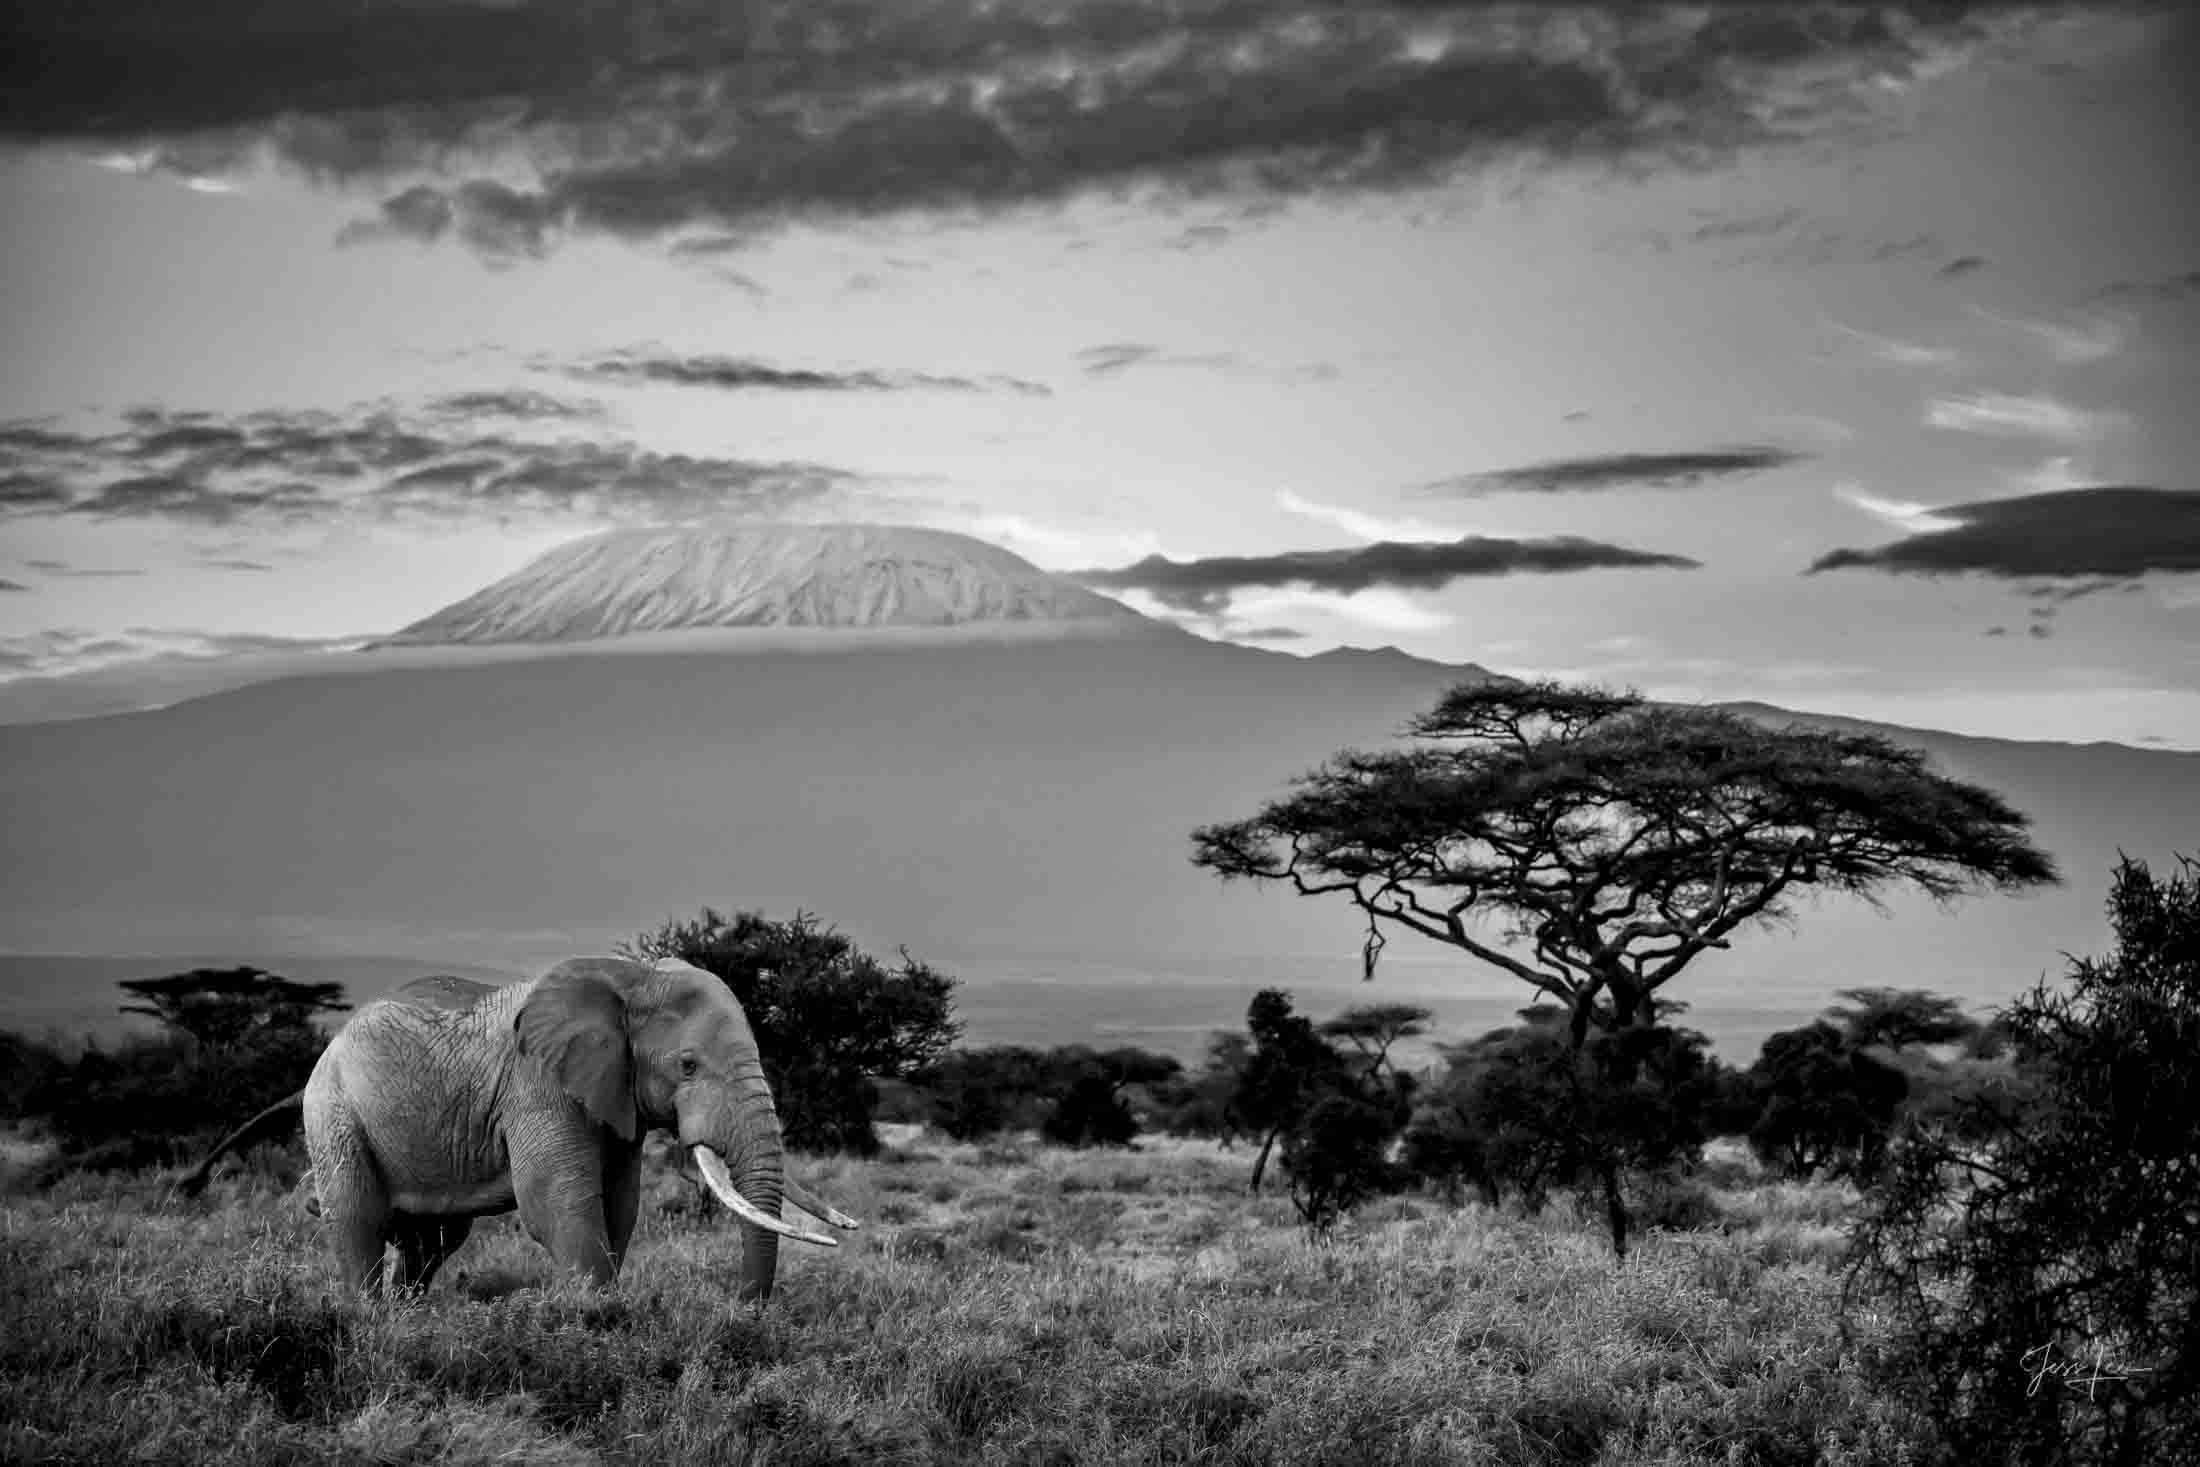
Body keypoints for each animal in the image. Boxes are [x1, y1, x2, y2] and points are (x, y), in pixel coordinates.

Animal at [181, 958, 858, 1300]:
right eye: (687, 1065)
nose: (745, 1308)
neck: (630, 977)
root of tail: (326, 1051)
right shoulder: (538, 1085)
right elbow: (555, 1205)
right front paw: (598, 1324)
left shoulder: (614, 1099)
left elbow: (619, 1206)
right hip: (333, 1111)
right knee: (358, 1219)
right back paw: (369, 1328)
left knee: (432, 1240)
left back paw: (409, 1322)